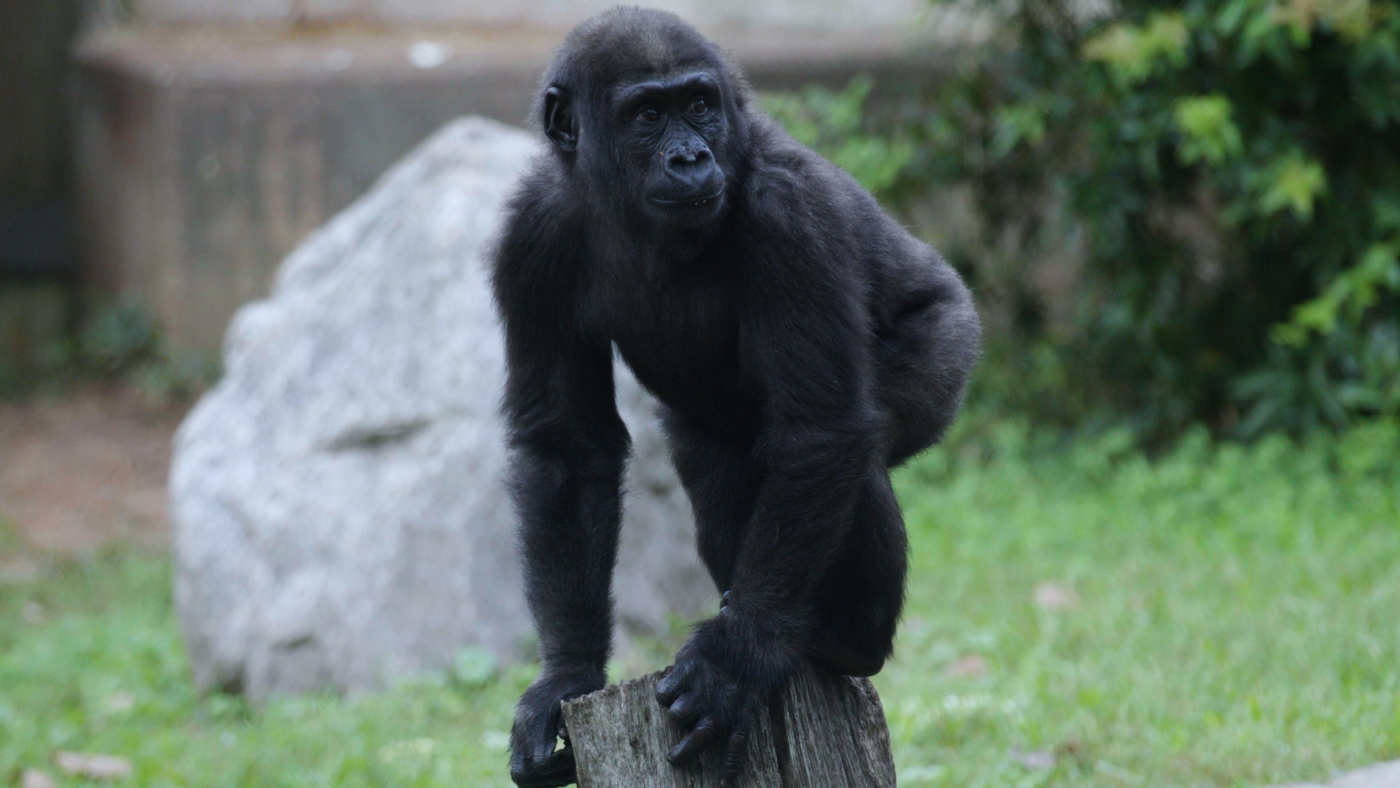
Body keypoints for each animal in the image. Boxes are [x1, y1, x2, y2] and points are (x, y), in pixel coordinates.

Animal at [498, 7, 980, 788]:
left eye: (699, 104)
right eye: (647, 114)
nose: (691, 159)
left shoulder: (792, 213)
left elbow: (821, 428)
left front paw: (737, 658)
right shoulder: (529, 236)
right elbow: (567, 451)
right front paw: (565, 675)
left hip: (948, 344)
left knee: (851, 449)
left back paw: (847, 637)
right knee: (724, 472)